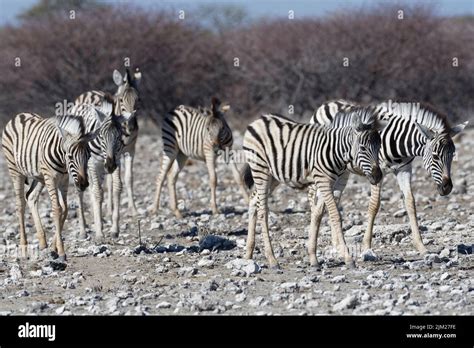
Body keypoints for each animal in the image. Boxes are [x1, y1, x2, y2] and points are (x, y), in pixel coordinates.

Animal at [1, 113, 95, 260]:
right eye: (70, 156)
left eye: (89, 156)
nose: (83, 184)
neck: (62, 161)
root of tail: (19, 115)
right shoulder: (51, 178)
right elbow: (56, 209)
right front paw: (61, 251)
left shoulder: (64, 179)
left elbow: (65, 209)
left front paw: (53, 247)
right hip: (15, 170)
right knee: (20, 204)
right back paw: (24, 249)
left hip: (40, 176)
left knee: (31, 196)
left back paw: (42, 243)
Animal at [68, 103, 125, 242]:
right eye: (102, 136)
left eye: (119, 136)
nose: (110, 165)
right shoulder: (92, 163)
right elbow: (98, 193)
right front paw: (99, 234)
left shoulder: (117, 160)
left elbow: (117, 187)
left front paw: (114, 230)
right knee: (80, 191)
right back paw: (83, 231)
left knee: (92, 189)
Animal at [75, 67, 142, 218]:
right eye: (121, 100)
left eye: (138, 99)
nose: (131, 128)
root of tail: (90, 91)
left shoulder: (130, 150)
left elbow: (128, 178)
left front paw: (133, 210)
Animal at [243, 109, 384, 270]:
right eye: (362, 148)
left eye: (379, 147)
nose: (378, 176)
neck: (336, 151)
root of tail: (260, 119)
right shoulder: (323, 181)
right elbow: (335, 216)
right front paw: (348, 258)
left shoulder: (330, 183)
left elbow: (318, 214)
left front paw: (313, 258)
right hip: (260, 169)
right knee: (263, 211)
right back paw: (272, 260)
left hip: (274, 176)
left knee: (253, 201)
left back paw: (248, 255)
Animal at [310, 99, 468, 254]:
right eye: (435, 156)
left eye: (453, 155)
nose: (447, 188)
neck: (400, 144)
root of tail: (327, 103)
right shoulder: (376, 171)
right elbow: (374, 204)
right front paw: (366, 246)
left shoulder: (404, 170)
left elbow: (410, 203)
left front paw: (421, 246)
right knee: (314, 202)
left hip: (342, 172)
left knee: (333, 200)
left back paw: (336, 245)